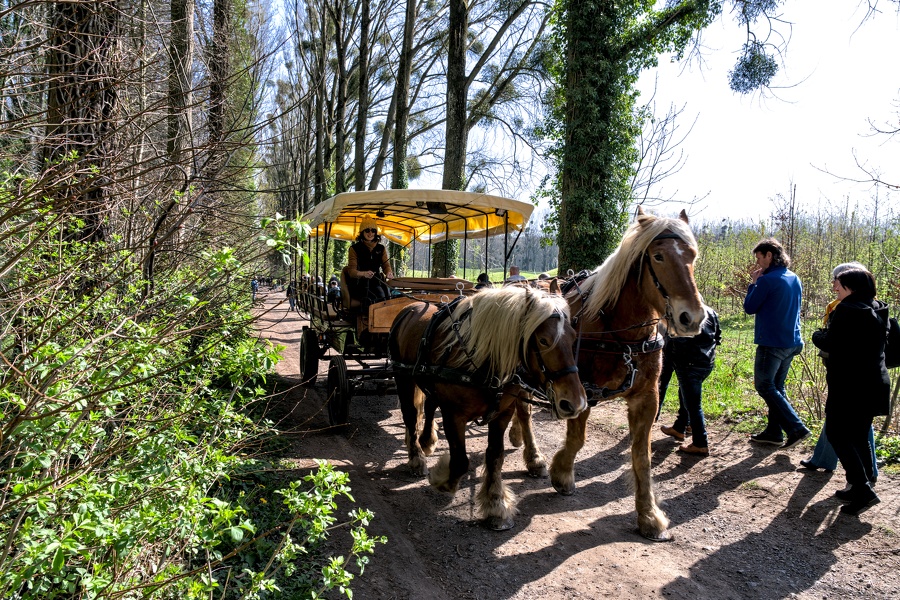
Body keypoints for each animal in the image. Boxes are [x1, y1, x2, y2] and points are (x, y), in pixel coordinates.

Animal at [388, 286, 588, 528]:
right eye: (543, 340)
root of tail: (411, 306)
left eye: (573, 337)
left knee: (428, 407)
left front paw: (495, 503)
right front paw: (441, 479)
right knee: (409, 414)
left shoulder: (502, 413)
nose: (576, 402)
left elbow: (495, 456)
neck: (482, 361)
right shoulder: (453, 414)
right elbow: (460, 461)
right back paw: (416, 457)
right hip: (403, 377)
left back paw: (426, 440)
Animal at [516, 209, 708, 540]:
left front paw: (648, 514)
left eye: (692, 255)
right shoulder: (582, 389)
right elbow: (577, 438)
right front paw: (562, 473)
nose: (692, 317)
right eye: (658, 256)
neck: (618, 331)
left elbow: (641, 456)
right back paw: (533, 456)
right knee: (523, 411)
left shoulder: (647, 398)